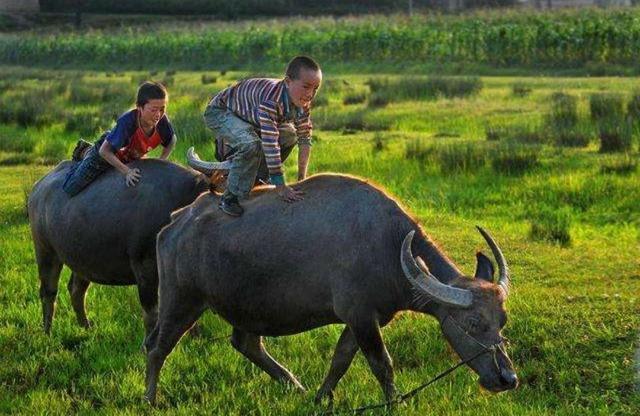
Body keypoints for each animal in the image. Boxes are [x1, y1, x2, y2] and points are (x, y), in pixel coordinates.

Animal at [27, 158, 209, 336]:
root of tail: (38, 187)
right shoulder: (145, 268)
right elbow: (152, 315)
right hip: (46, 251)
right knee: (48, 292)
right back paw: (47, 332)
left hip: (82, 258)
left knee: (76, 290)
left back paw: (86, 327)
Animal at [142, 174, 516, 404]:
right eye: (472, 323)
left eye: (502, 322)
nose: (507, 378)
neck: (388, 245)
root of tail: (177, 221)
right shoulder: (362, 317)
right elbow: (382, 364)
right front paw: (395, 402)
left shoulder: (362, 319)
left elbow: (340, 360)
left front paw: (322, 397)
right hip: (181, 300)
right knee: (157, 348)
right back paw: (150, 399)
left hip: (245, 308)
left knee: (246, 343)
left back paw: (294, 386)